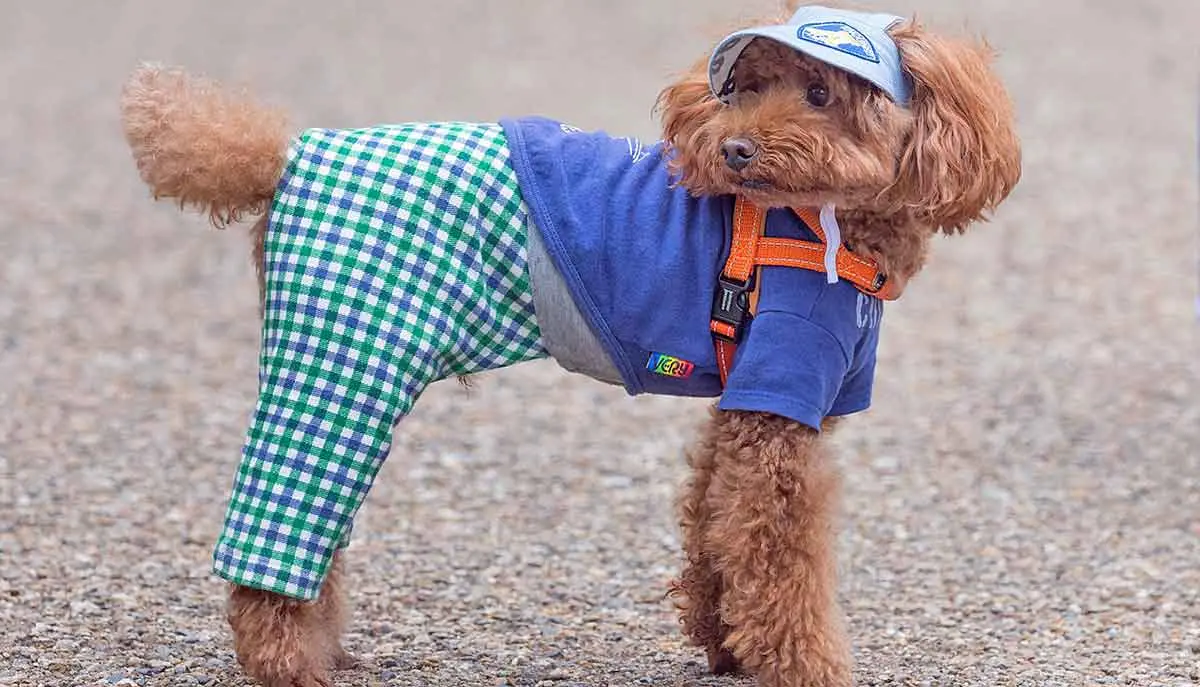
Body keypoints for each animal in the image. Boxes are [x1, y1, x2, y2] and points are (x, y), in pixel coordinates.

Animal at [119, 5, 1022, 687]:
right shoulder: (780, 394)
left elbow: (715, 527)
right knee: (276, 529)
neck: (814, 220)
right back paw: (286, 659)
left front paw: (724, 644)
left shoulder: (741, 411)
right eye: (748, 88)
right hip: (348, 348)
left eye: (820, 90)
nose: (733, 149)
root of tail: (285, 158)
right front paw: (810, 667)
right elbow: (780, 557)